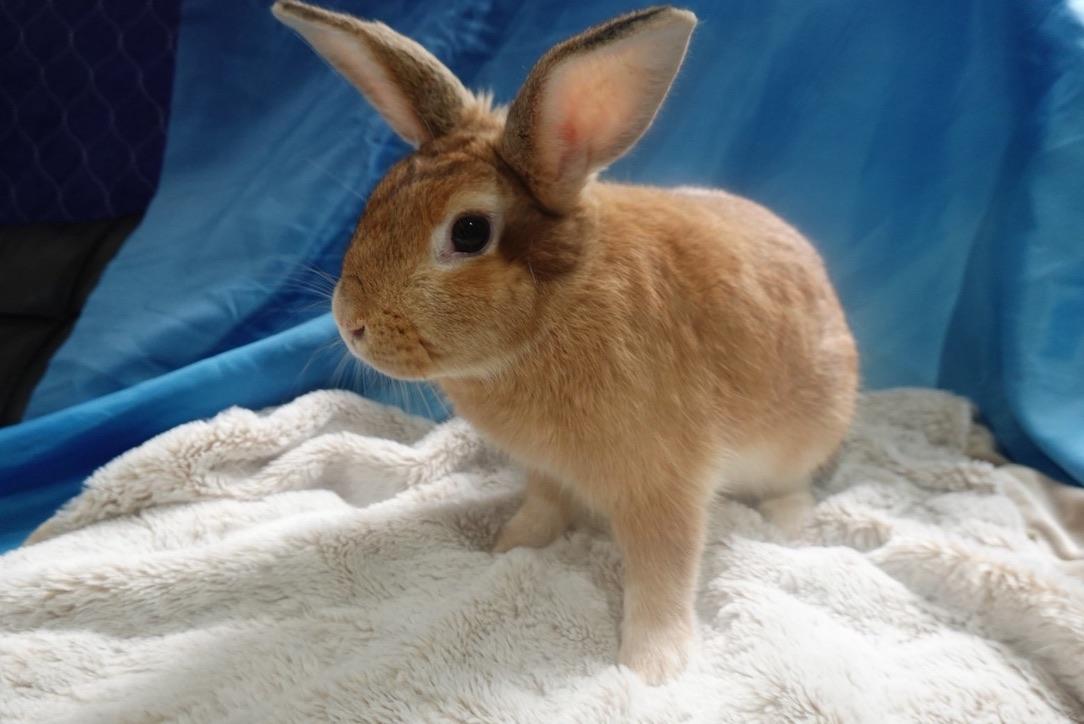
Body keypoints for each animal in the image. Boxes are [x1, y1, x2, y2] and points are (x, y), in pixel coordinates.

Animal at [273, 0, 859, 685]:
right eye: (380, 195)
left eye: (469, 232)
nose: (351, 323)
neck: (558, 309)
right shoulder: (547, 469)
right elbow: (543, 506)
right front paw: (510, 544)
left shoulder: (664, 485)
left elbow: (663, 572)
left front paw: (653, 665)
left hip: (804, 434)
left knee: (793, 485)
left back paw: (788, 526)